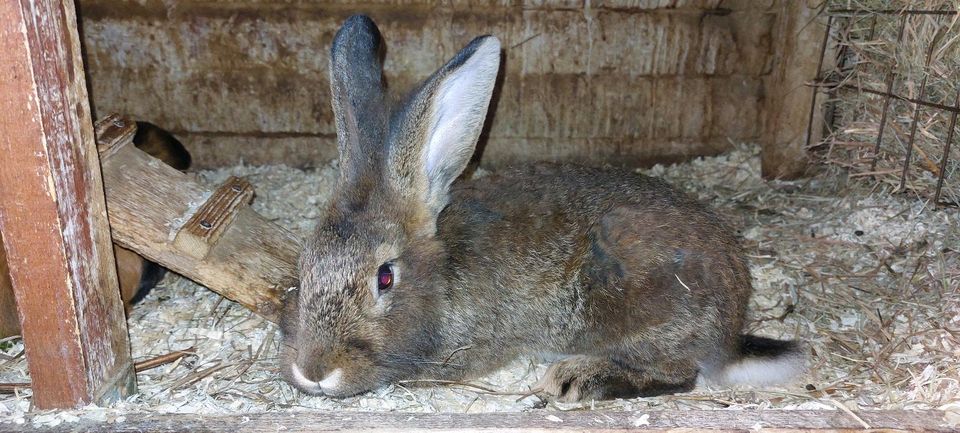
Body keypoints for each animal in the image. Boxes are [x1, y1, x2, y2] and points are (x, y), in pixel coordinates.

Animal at [282, 16, 808, 402]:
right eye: (303, 270)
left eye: (385, 277)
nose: (313, 371)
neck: (442, 271)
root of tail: (731, 332)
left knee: (680, 372)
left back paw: (576, 379)